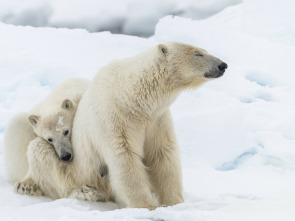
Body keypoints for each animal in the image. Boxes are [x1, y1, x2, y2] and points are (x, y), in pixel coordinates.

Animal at [68, 41, 228, 209]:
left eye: (204, 50)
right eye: (198, 54)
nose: (223, 65)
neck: (130, 98)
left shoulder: (157, 119)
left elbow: (162, 153)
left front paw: (173, 202)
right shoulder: (115, 118)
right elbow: (126, 157)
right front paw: (147, 206)